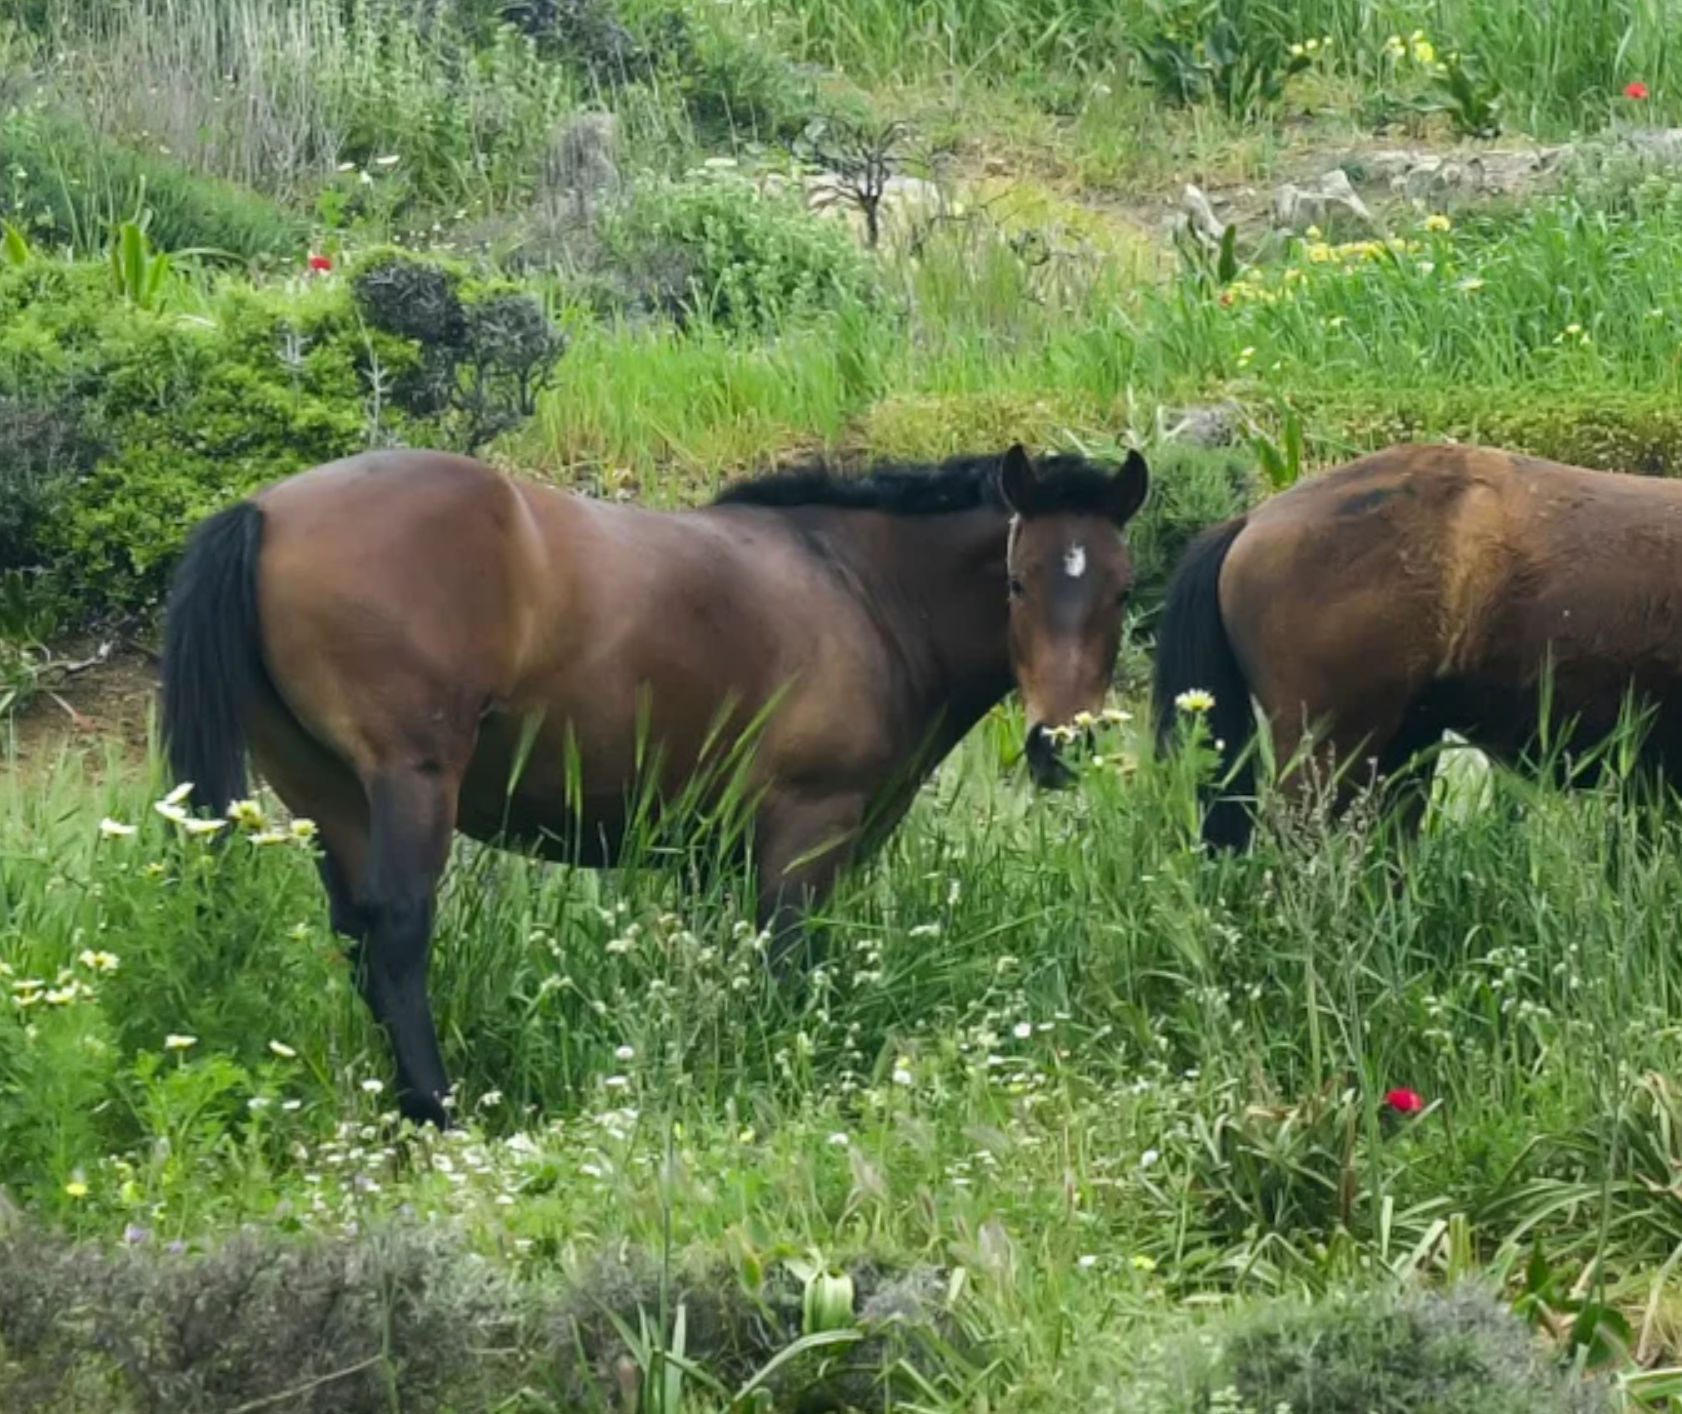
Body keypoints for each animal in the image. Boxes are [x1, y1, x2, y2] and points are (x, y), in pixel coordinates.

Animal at [163, 440, 1150, 1123]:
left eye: (1124, 591)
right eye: (1018, 584)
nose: (1062, 743)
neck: (859, 586)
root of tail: (264, 511)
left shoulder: (712, 855)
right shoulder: (805, 835)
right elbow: (787, 969)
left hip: (330, 802)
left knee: (361, 945)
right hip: (409, 787)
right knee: (399, 940)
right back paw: (441, 1112)